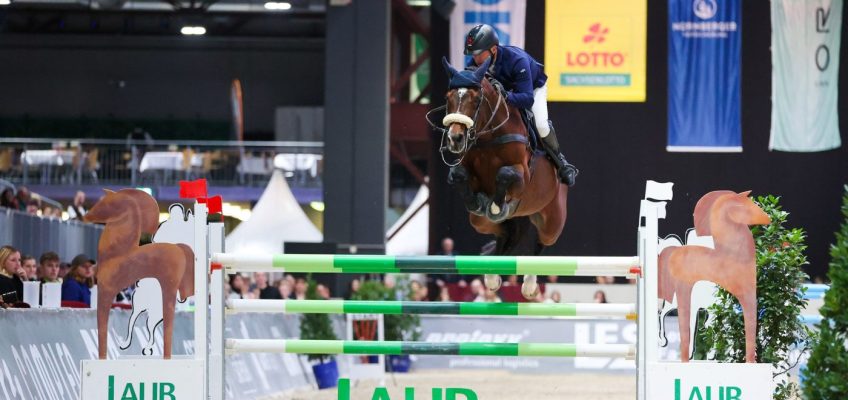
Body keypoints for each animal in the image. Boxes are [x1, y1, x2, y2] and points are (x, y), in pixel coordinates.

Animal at [85, 188, 196, 360]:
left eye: (105, 203)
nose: (86, 216)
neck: (116, 253)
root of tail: (180, 248)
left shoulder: (105, 291)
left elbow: (102, 326)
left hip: (167, 289)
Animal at [434, 57, 568, 300]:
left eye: (476, 99)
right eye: (448, 98)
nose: (455, 139)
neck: (488, 136)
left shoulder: (522, 178)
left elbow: (505, 173)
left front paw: (496, 205)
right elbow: (459, 175)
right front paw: (477, 202)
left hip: (552, 221)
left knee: (540, 243)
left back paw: (529, 284)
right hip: (483, 222)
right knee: (504, 236)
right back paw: (491, 274)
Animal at [660, 191, 772, 362]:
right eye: (746, 206)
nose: (769, 219)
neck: (733, 253)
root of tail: (672, 252)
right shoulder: (745, 292)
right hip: (682, 291)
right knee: (675, 321)